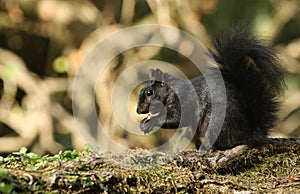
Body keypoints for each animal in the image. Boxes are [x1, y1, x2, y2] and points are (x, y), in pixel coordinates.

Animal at [135, 26, 284, 150]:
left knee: (225, 143)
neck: (171, 91)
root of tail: (247, 134)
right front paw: (144, 122)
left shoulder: (183, 100)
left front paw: (150, 122)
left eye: (149, 93)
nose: (138, 111)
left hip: (215, 123)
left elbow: (177, 119)